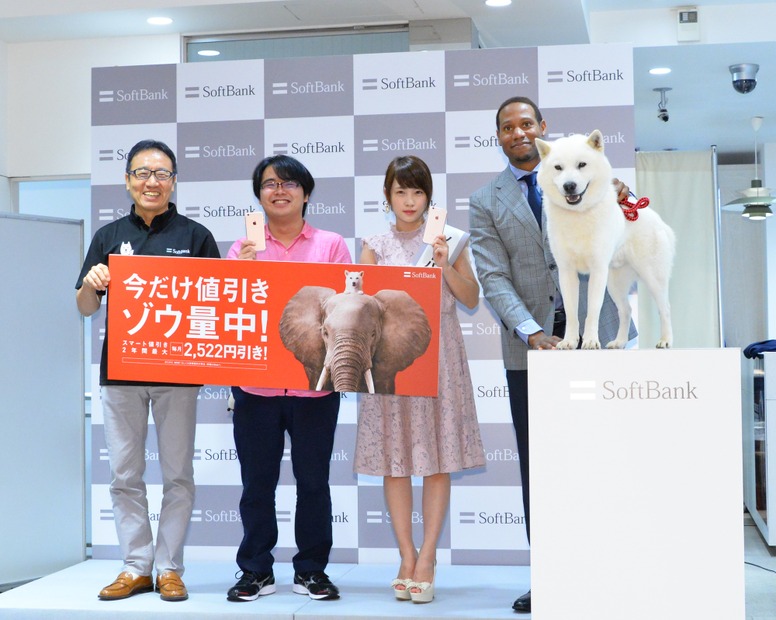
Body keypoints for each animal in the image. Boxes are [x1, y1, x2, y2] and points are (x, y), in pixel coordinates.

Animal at [536, 130, 676, 348]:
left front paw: (591, 341)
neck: (578, 214)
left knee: (666, 308)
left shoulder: (597, 269)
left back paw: (666, 340)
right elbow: (572, 312)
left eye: (582, 164)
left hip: (652, 276)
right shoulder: (566, 272)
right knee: (626, 310)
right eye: (558, 167)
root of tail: (660, 222)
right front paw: (569, 342)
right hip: (615, 282)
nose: (569, 186)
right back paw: (619, 342)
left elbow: (592, 311)